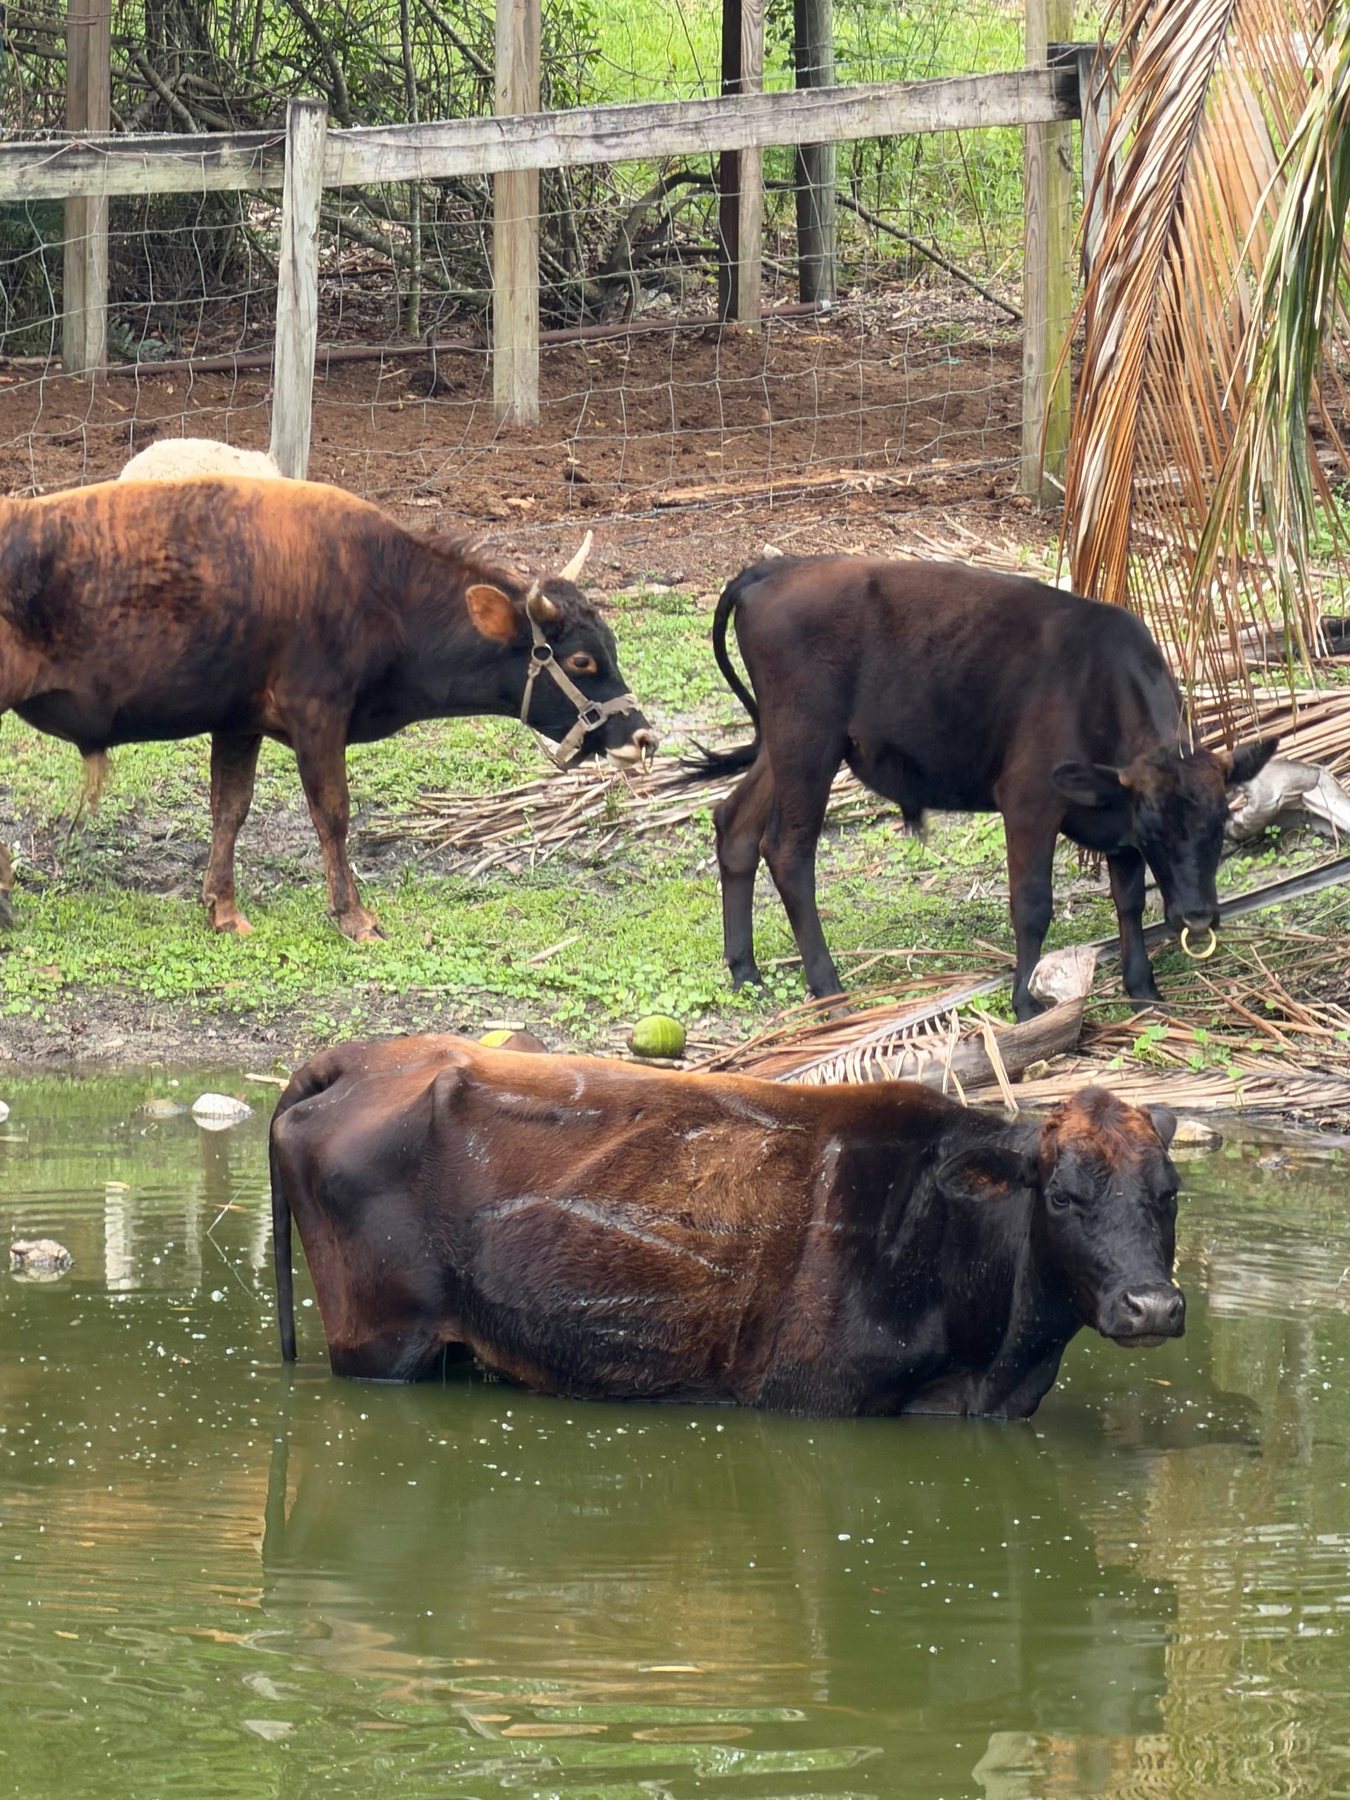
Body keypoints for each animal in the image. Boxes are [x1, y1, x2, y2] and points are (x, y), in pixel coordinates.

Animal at [0, 478, 656, 938]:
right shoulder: (317, 713)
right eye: (581, 661)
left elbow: (229, 809)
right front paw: (353, 916)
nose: (643, 737)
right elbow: (332, 813)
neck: (385, 594)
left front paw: (222, 906)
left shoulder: (237, 721)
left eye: (611, 645)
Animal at [270, 1034, 1185, 1420]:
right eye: (1061, 1196)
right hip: (381, 1345)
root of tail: (358, 1058)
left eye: (1169, 1193)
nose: (1152, 1306)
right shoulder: (815, 1399)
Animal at [684, 556, 1278, 1019]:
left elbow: (1128, 900)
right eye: (1157, 831)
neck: (1098, 690)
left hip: (783, 745)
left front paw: (1143, 988)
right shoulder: (1030, 800)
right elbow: (1033, 904)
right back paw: (830, 991)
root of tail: (775, 567)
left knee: (735, 826)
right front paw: (1025, 1003)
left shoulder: (1118, 815)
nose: (1197, 915)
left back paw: (745, 971)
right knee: (788, 850)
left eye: (1220, 824)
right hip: (808, 742)